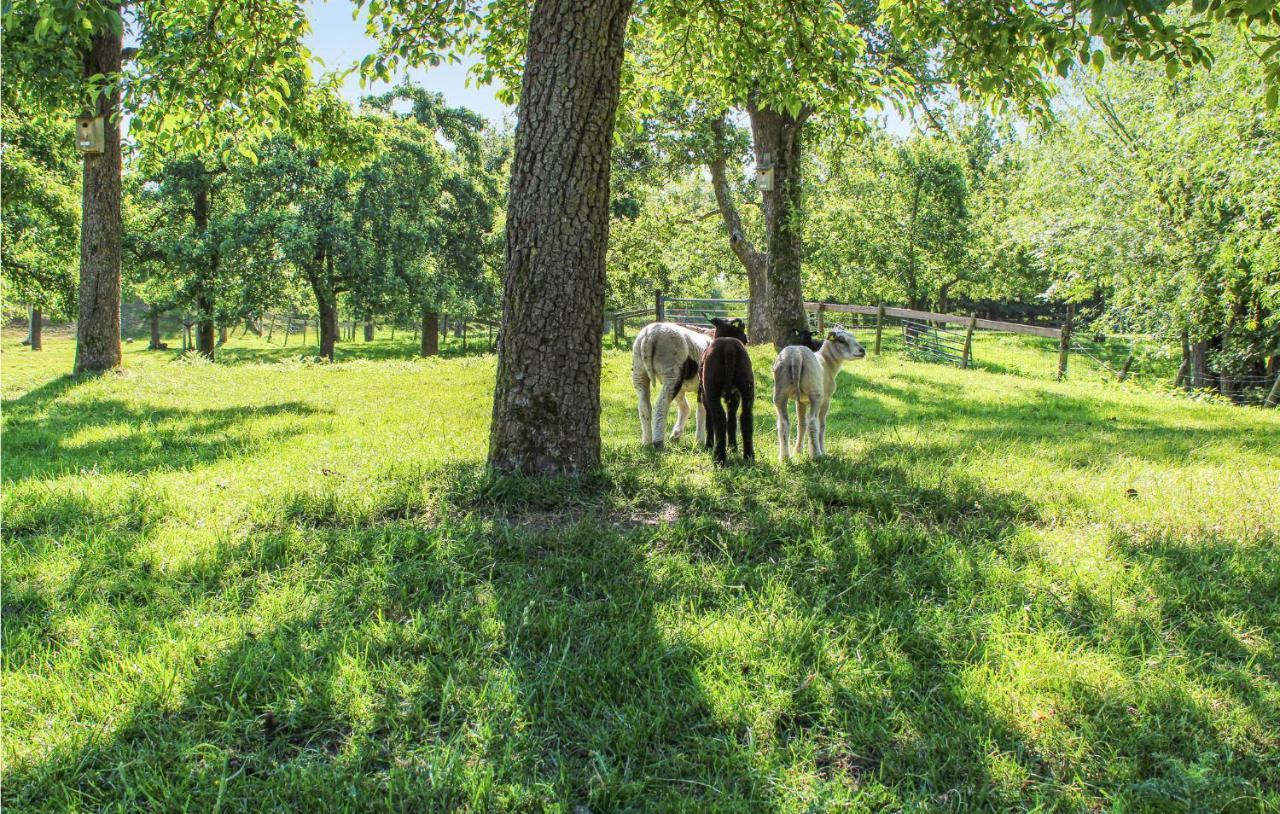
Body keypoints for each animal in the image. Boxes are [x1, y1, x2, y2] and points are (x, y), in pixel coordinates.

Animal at [696, 316, 752, 463]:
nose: (746, 338)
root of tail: (729, 347)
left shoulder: (705, 396)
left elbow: (709, 421)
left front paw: (709, 446)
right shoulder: (735, 396)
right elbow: (731, 421)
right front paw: (733, 448)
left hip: (712, 390)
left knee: (719, 418)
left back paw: (718, 457)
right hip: (747, 386)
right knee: (745, 417)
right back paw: (749, 456)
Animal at [768, 327, 870, 460]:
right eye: (841, 340)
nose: (862, 351)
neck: (828, 362)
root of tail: (796, 355)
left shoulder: (800, 401)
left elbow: (801, 425)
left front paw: (798, 451)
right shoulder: (826, 399)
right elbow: (822, 425)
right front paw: (823, 450)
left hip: (780, 392)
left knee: (784, 423)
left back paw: (785, 457)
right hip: (815, 393)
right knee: (813, 422)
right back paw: (817, 455)